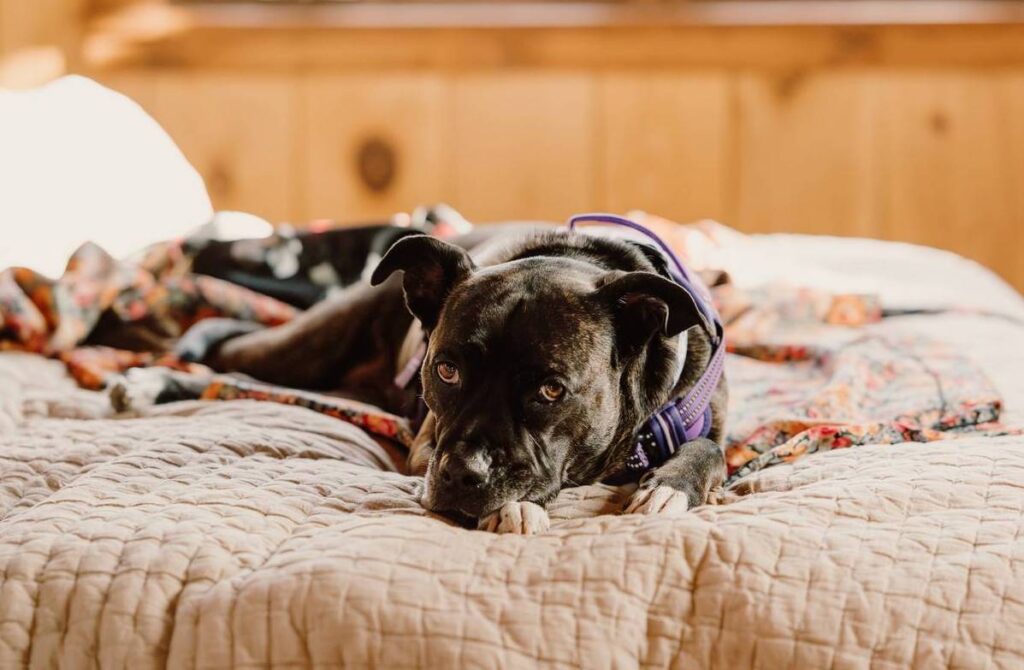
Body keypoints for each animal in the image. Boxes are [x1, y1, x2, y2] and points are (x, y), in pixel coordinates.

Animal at [112, 220, 729, 536]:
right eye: (446, 370)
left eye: (551, 390)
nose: (459, 476)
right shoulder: (427, 441)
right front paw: (514, 508)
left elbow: (710, 451)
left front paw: (669, 488)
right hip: (310, 347)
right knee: (232, 362)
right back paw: (148, 381)